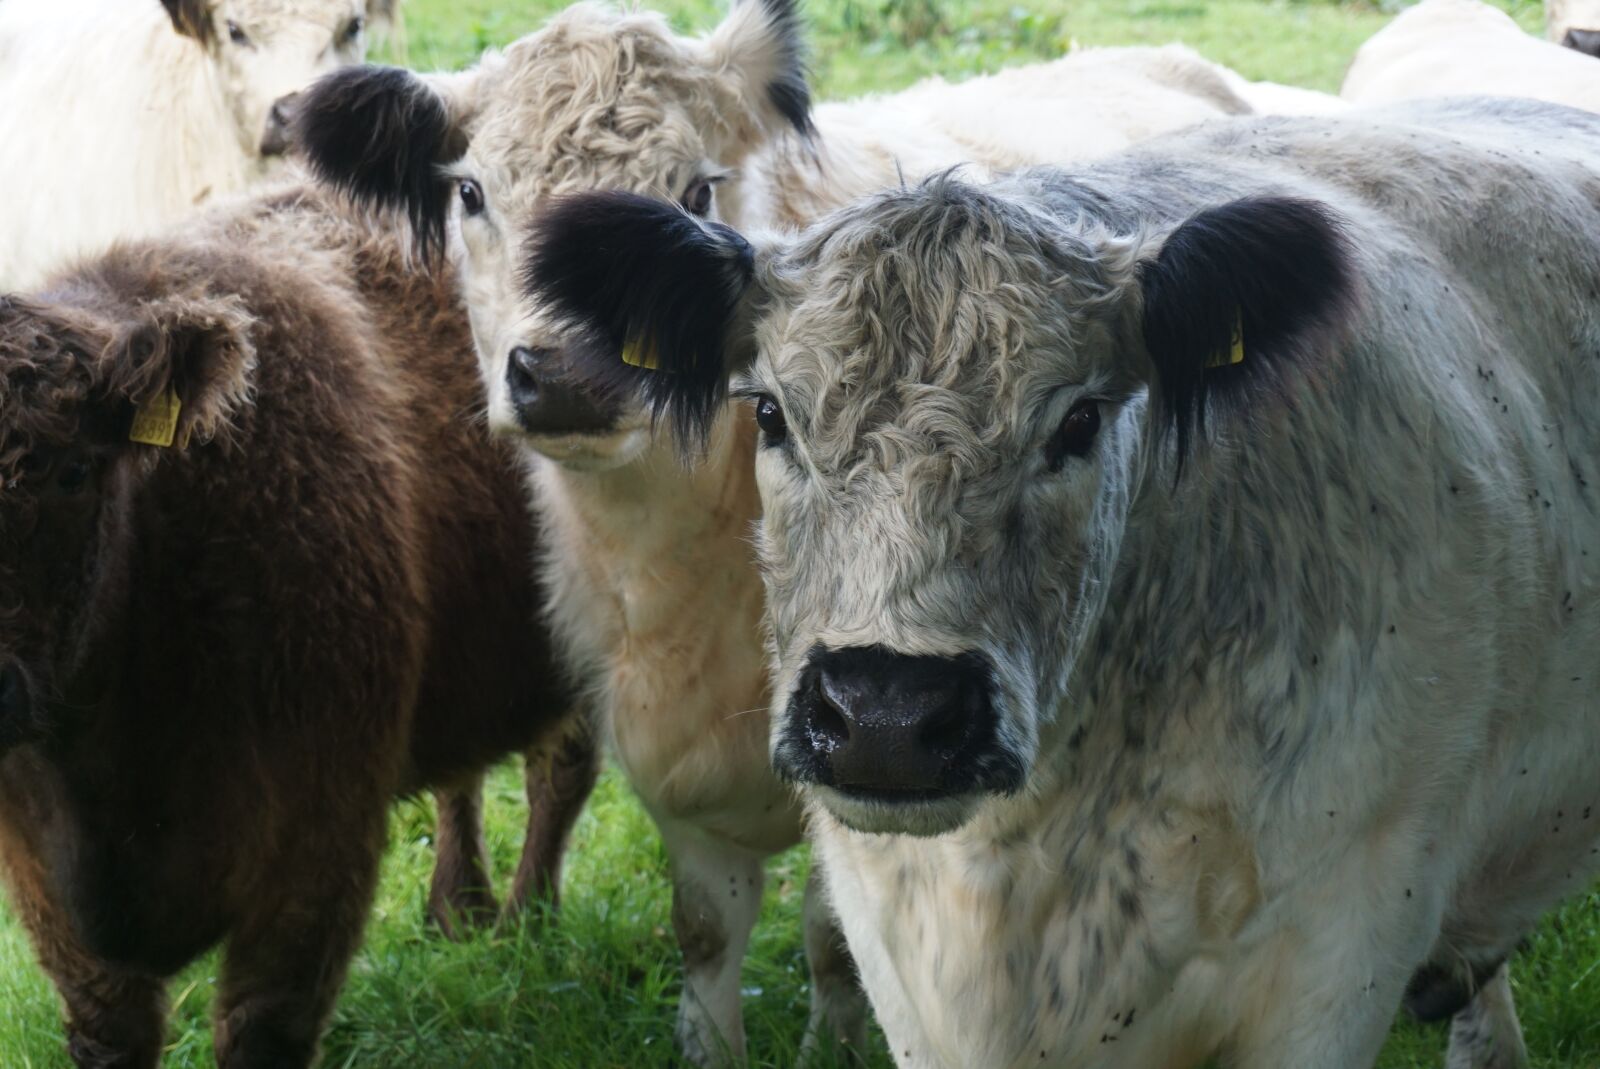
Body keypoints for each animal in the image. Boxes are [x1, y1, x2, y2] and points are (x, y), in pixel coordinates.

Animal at [0, 181, 591, 1069]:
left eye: (73, 472)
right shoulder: (48, 889)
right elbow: (109, 1031)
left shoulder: (318, 844)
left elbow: (261, 1028)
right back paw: (460, 907)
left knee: (560, 771)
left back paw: (528, 923)